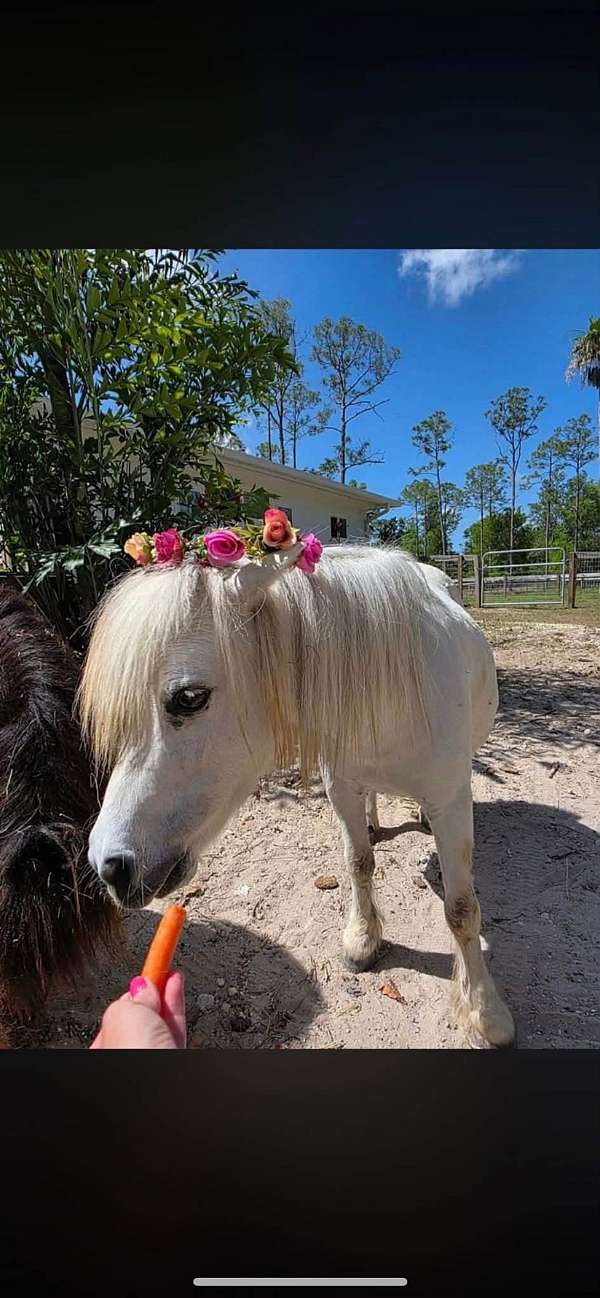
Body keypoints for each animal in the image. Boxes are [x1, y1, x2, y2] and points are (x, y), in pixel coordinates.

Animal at [80, 543, 514, 1049]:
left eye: (189, 697)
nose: (109, 865)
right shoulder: (341, 788)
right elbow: (358, 863)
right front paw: (362, 941)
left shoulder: (450, 804)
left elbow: (461, 909)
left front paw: (485, 1014)